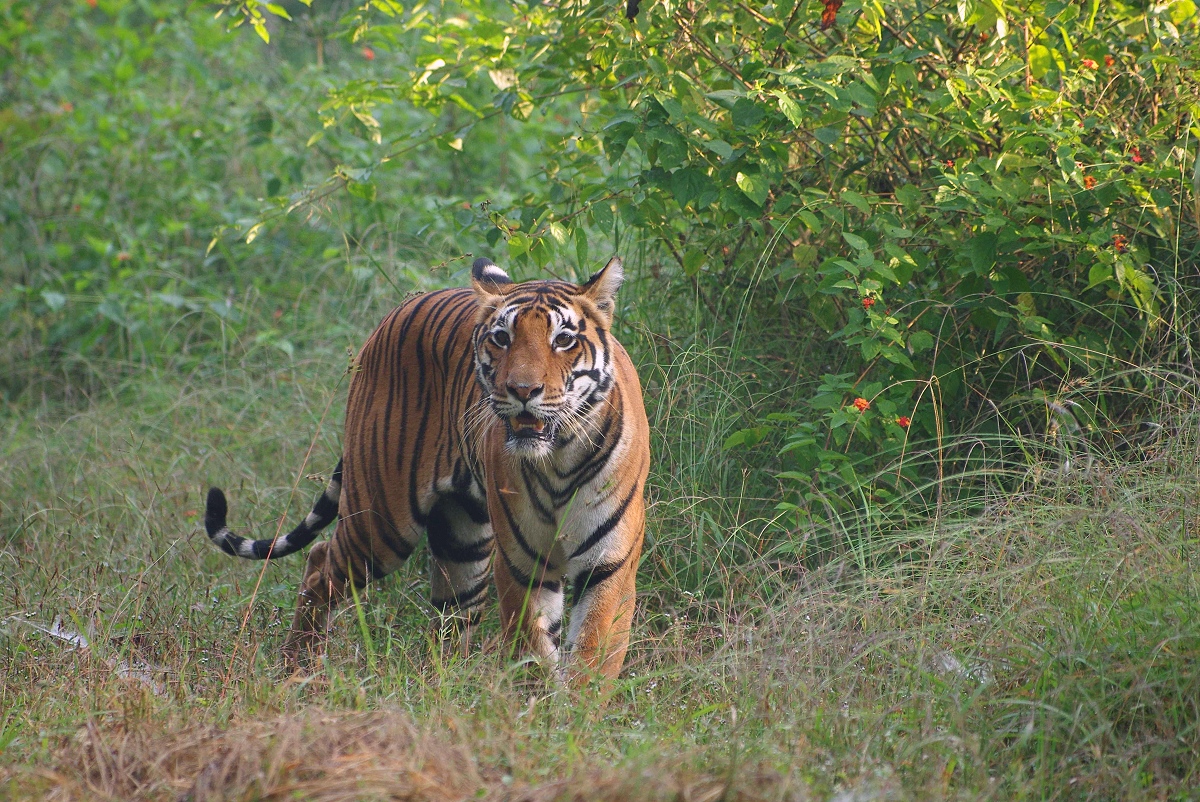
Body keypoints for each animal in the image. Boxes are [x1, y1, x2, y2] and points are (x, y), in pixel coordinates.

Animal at [204, 258, 648, 681]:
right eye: (502, 338)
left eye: (564, 340)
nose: (522, 390)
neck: (558, 457)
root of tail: (400, 309)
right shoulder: (521, 565)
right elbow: (535, 650)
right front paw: (544, 701)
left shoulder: (609, 564)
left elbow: (592, 652)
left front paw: (574, 705)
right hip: (382, 521)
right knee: (320, 562)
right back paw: (297, 668)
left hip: (462, 539)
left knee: (451, 617)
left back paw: (449, 683)